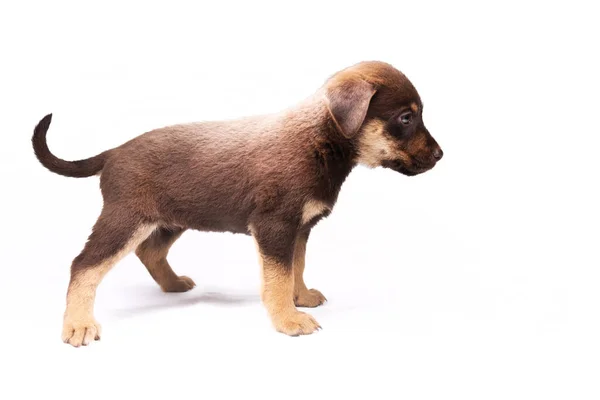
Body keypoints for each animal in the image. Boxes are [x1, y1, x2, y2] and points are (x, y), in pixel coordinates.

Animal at [32, 61, 442, 346]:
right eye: (406, 117)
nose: (440, 155)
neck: (321, 140)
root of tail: (113, 152)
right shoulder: (275, 227)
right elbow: (277, 277)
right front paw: (288, 319)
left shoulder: (299, 229)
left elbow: (295, 267)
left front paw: (300, 297)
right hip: (125, 219)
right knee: (84, 265)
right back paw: (78, 324)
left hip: (170, 220)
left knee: (149, 252)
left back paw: (173, 284)